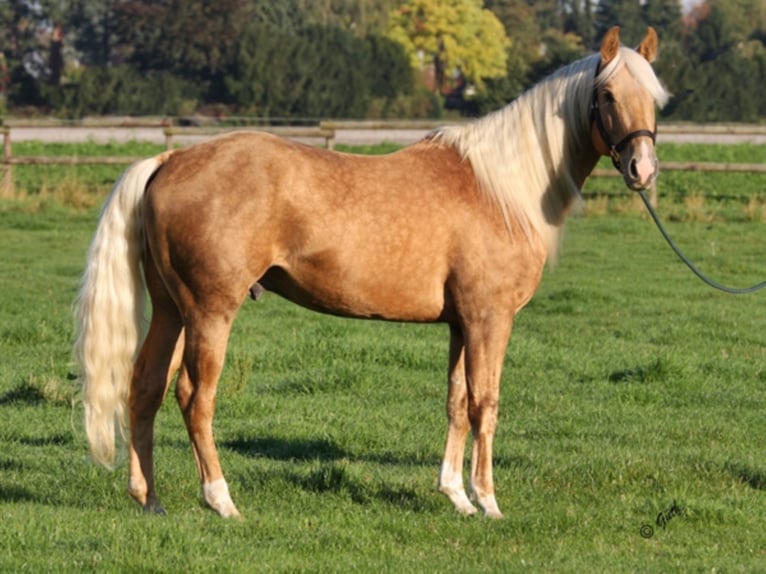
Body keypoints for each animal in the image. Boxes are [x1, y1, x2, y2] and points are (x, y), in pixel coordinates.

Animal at [74, 26, 668, 519]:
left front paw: (456, 497)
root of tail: (170, 160)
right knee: (195, 397)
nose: (642, 169)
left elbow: (456, 402)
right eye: (607, 96)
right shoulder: (489, 319)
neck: (501, 189)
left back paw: (149, 498)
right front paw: (488, 501)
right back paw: (221, 501)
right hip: (210, 312)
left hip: (171, 309)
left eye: (657, 99)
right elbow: (486, 403)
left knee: (144, 387)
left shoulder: (461, 324)